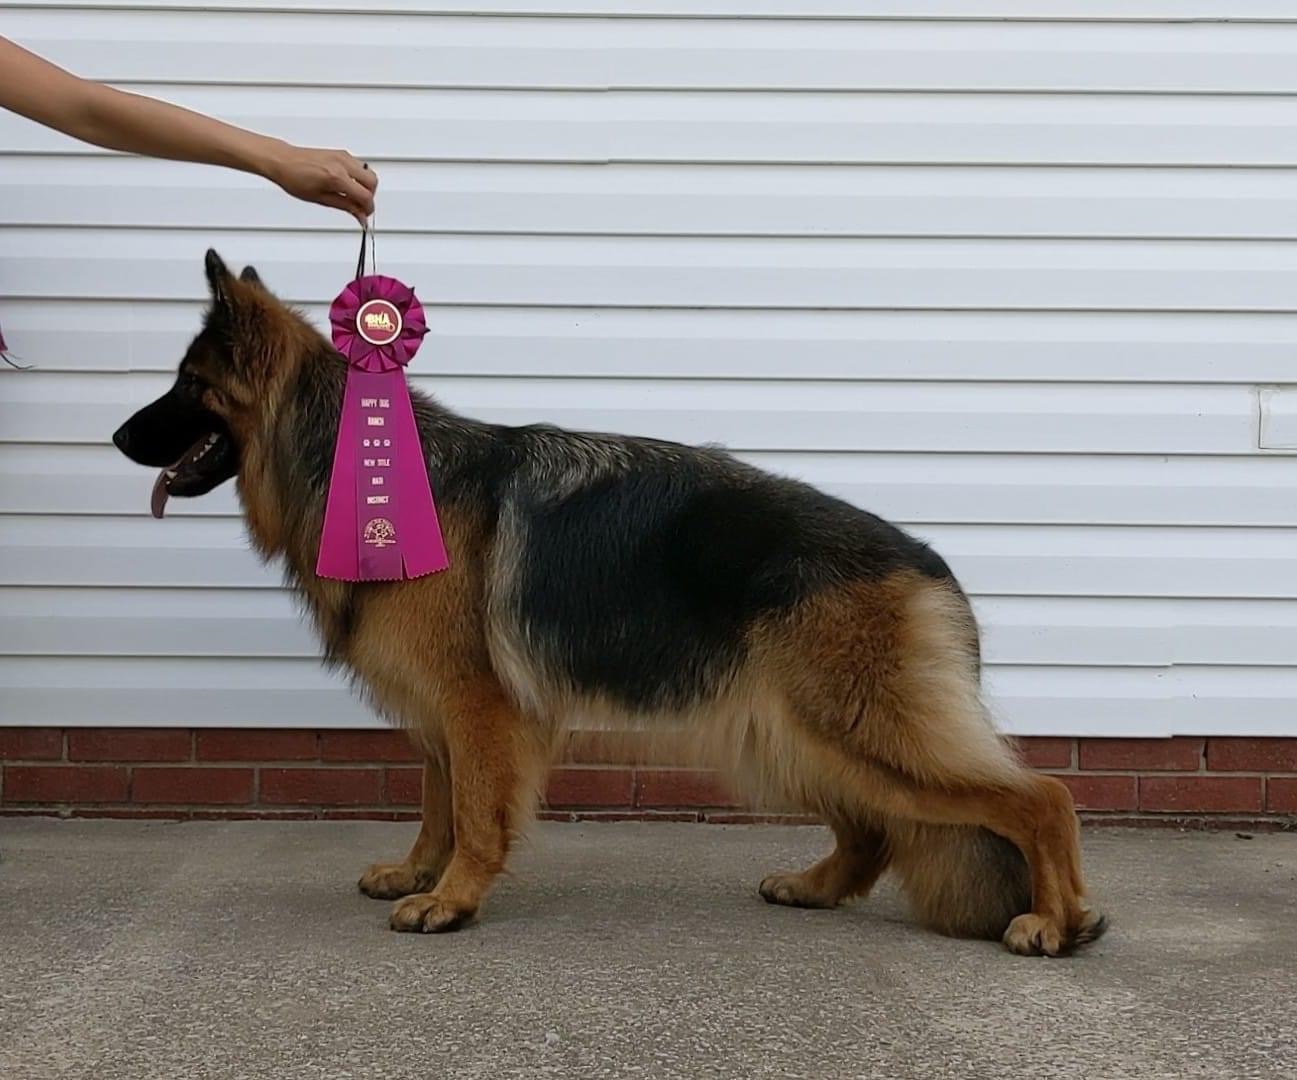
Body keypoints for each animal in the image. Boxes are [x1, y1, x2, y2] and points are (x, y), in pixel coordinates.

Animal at [112, 250, 1105, 955]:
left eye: (187, 386)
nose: (117, 436)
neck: (356, 459)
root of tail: (931, 563)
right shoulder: (440, 715)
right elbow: (437, 804)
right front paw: (417, 873)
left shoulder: (477, 711)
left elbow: (476, 813)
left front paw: (452, 899)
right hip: (793, 735)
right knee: (873, 830)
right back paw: (816, 888)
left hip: (851, 730)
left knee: (1042, 799)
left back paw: (1057, 923)